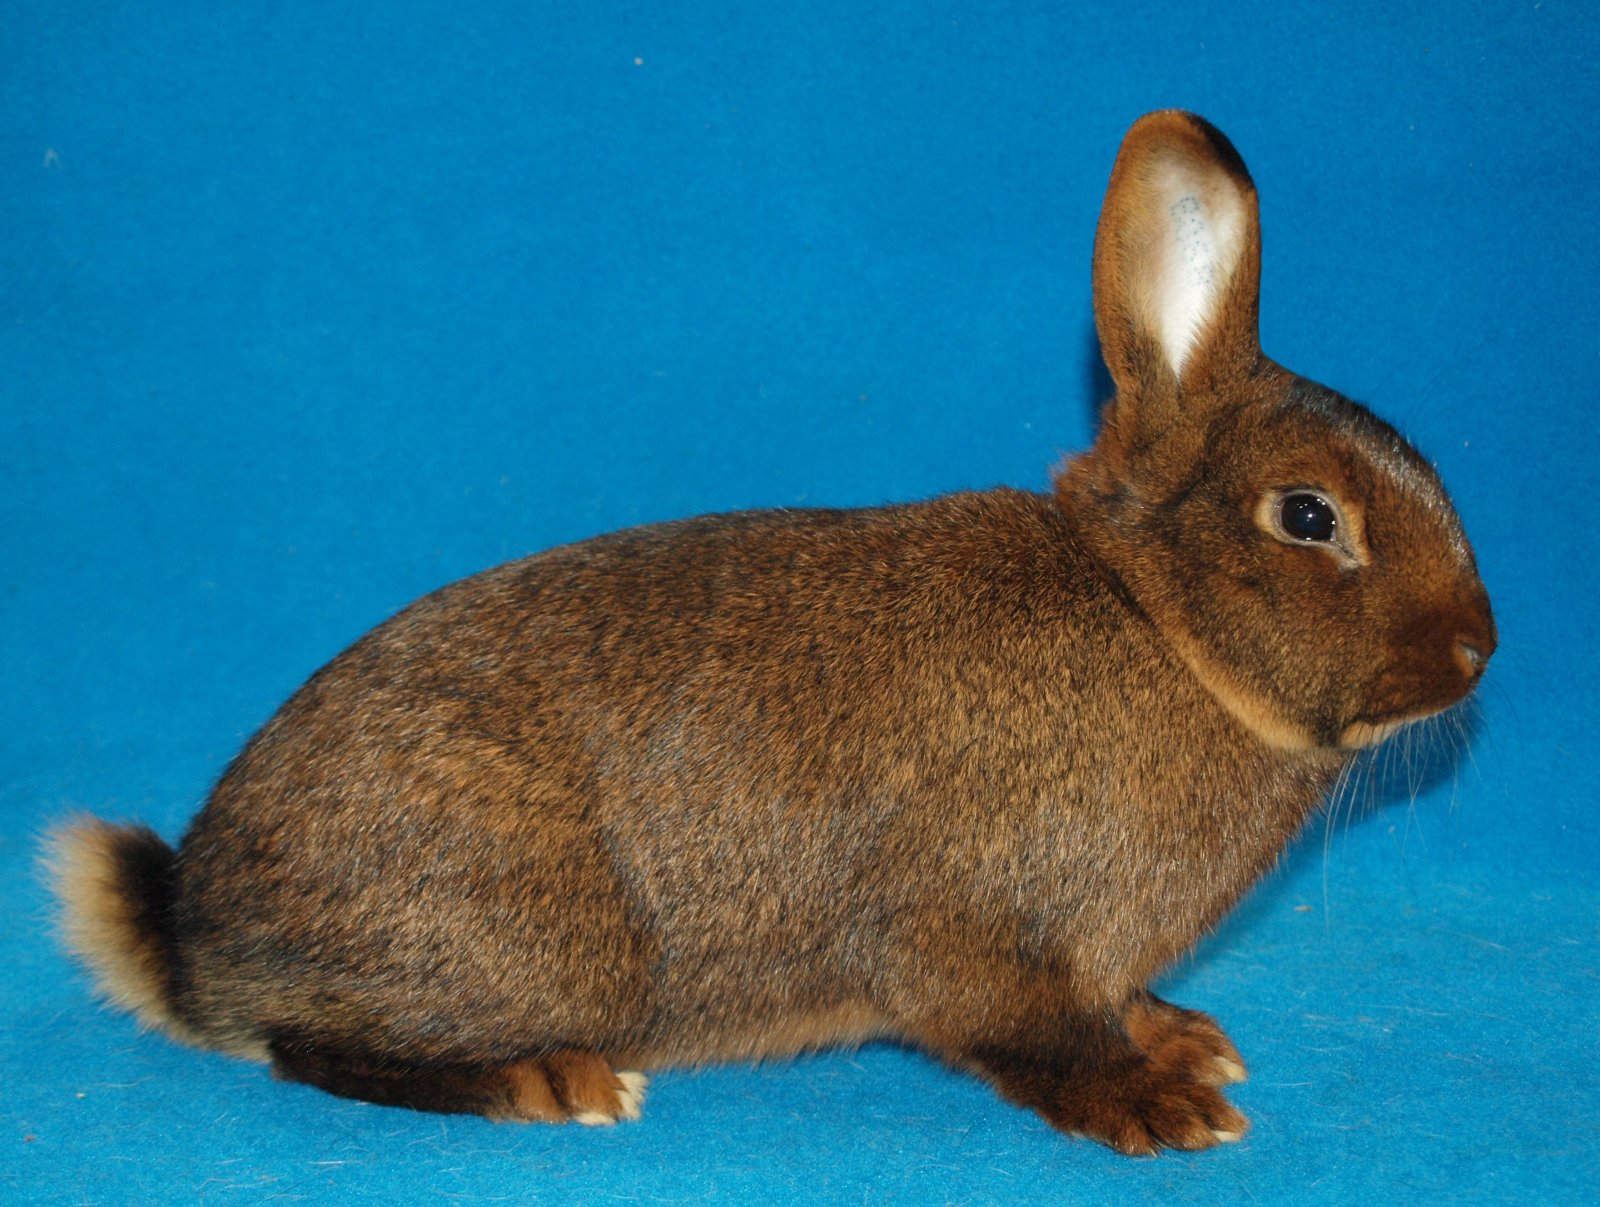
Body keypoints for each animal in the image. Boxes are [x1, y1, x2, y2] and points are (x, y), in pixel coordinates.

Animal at [47, 110, 1495, 1156]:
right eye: (1306, 515)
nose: (1479, 648)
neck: (1159, 617)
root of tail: (192, 939)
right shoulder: (976, 936)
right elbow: (1027, 1032)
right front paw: (1162, 1107)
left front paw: (1184, 1039)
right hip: (534, 938)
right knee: (311, 1045)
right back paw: (552, 1084)